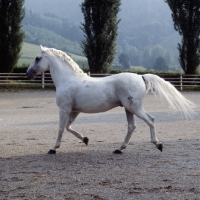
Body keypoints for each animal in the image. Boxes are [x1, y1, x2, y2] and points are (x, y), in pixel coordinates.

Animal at [26, 46, 195, 154]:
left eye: (37, 58)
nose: (28, 74)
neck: (67, 80)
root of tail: (141, 76)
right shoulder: (74, 111)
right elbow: (68, 127)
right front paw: (85, 139)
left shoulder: (64, 109)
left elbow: (61, 128)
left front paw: (53, 149)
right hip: (128, 109)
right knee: (132, 127)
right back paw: (119, 149)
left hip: (134, 108)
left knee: (150, 120)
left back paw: (158, 144)